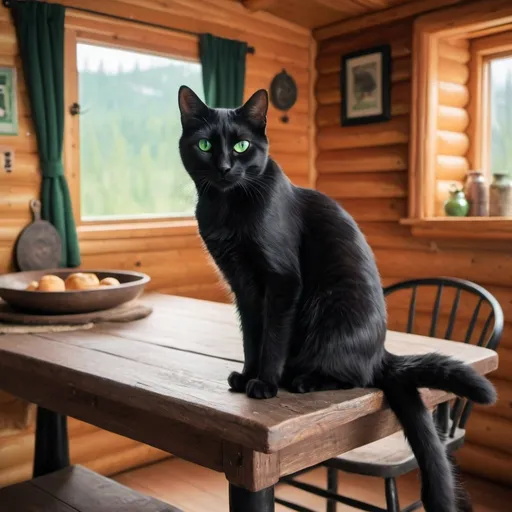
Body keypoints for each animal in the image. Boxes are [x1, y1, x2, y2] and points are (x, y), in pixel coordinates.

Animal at [179, 86, 496, 510]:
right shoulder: (243, 287)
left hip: (331, 311)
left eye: (242, 145)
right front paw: (246, 375)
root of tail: (383, 354)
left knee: (355, 376)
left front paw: (264, 383)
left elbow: (272, 340)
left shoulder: (281, 282)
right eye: (205, 145)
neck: (227, 206)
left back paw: (302, 380)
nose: (226, 167)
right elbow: (251, 338)